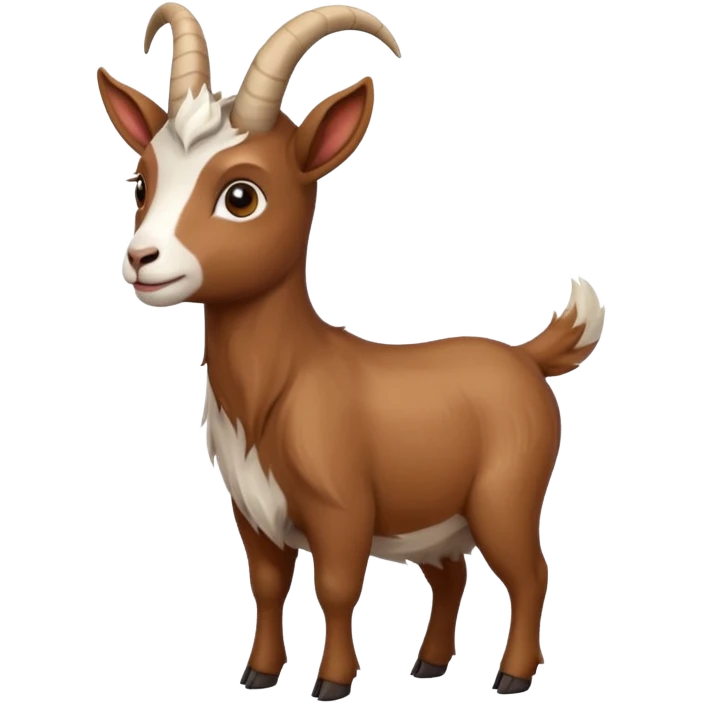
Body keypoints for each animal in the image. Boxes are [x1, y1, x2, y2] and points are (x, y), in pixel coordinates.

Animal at [97, 3, 606, 699]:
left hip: (507, 494)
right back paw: (429, 664)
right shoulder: (252, 511)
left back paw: (512, 675)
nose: (142, 259)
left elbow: (337, 589)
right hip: (436, 517)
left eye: (241, 195)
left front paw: (332, 683)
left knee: (530, 573)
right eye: (142, 183)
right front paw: (259, 673)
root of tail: (526, 356)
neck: (280, 388)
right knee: (451, 573)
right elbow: (266, 586)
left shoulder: (342, 508)